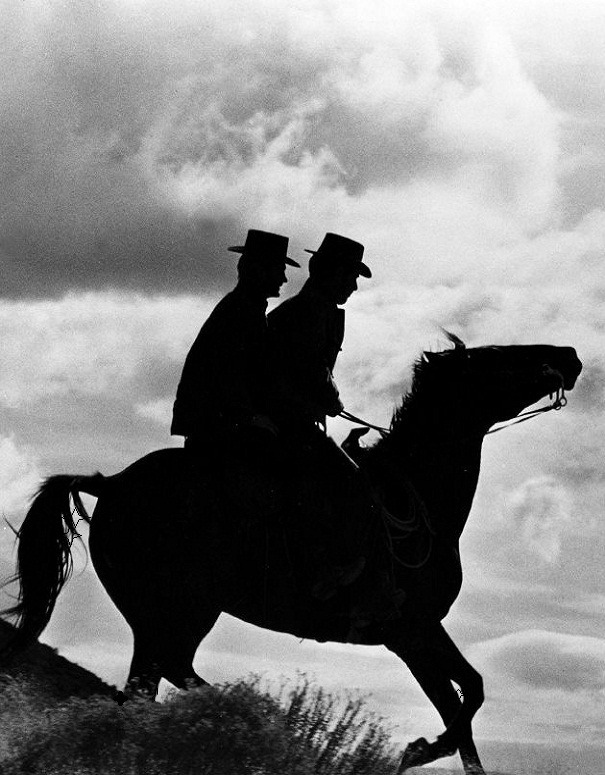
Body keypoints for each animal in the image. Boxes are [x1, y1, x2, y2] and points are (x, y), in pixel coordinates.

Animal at [3, 340, 580, 775]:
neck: (415, 496)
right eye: (502, 356)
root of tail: (112, 484)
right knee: (170, 670)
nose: (571, 355)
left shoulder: (420, 631)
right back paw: (266, 720)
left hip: (159, 615)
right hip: (181, 607)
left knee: (147, 687)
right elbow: (463, 704)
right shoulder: (408, 633)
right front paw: (415, 750)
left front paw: (422, 749)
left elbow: (468, 698)